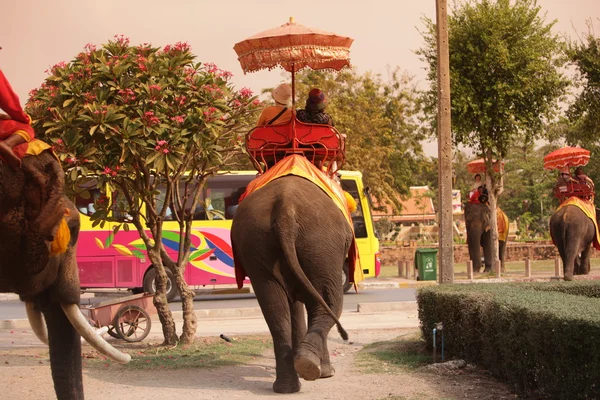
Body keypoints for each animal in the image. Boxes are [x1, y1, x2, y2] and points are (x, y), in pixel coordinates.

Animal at [229, 175, 352, 394]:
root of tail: (285, 207)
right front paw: (326, 373)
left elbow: (293, 305)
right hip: (321, 243)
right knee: (328, 302)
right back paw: (309, 368)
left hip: (256, 243)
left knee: (274, 308)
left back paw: (289, 384)